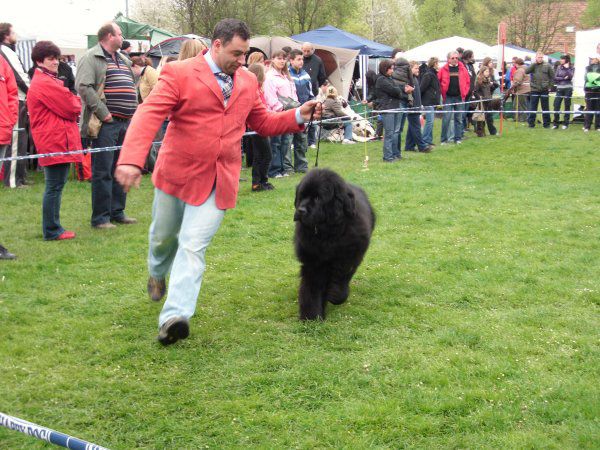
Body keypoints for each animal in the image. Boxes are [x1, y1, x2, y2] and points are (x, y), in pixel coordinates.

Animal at [292, 168, 372, 320]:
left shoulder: (348, 257)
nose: (301, 210)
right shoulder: (313, 261)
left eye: (318, 198)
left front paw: (335, 296)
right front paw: (311, 316)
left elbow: (341, 277)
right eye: (302, 196)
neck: (327, 233)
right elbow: (312, 287)